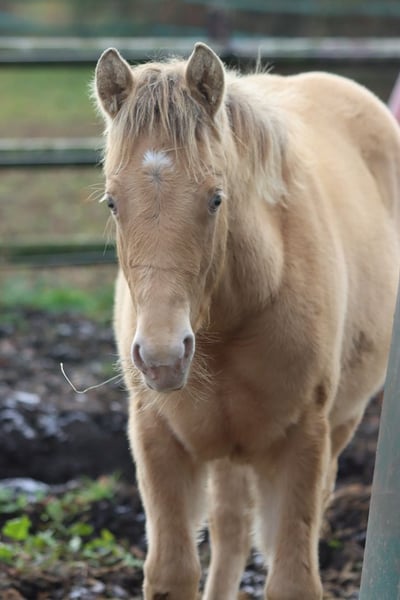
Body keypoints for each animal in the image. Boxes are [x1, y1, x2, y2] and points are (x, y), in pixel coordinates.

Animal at [94, 42, 400, 600]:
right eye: (112, 202)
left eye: (216, 198)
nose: (163, 358)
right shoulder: (158, 440)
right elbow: (173, 572)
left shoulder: (304, 441)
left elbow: (292, 577)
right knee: (230, 529)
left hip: (339, 424)